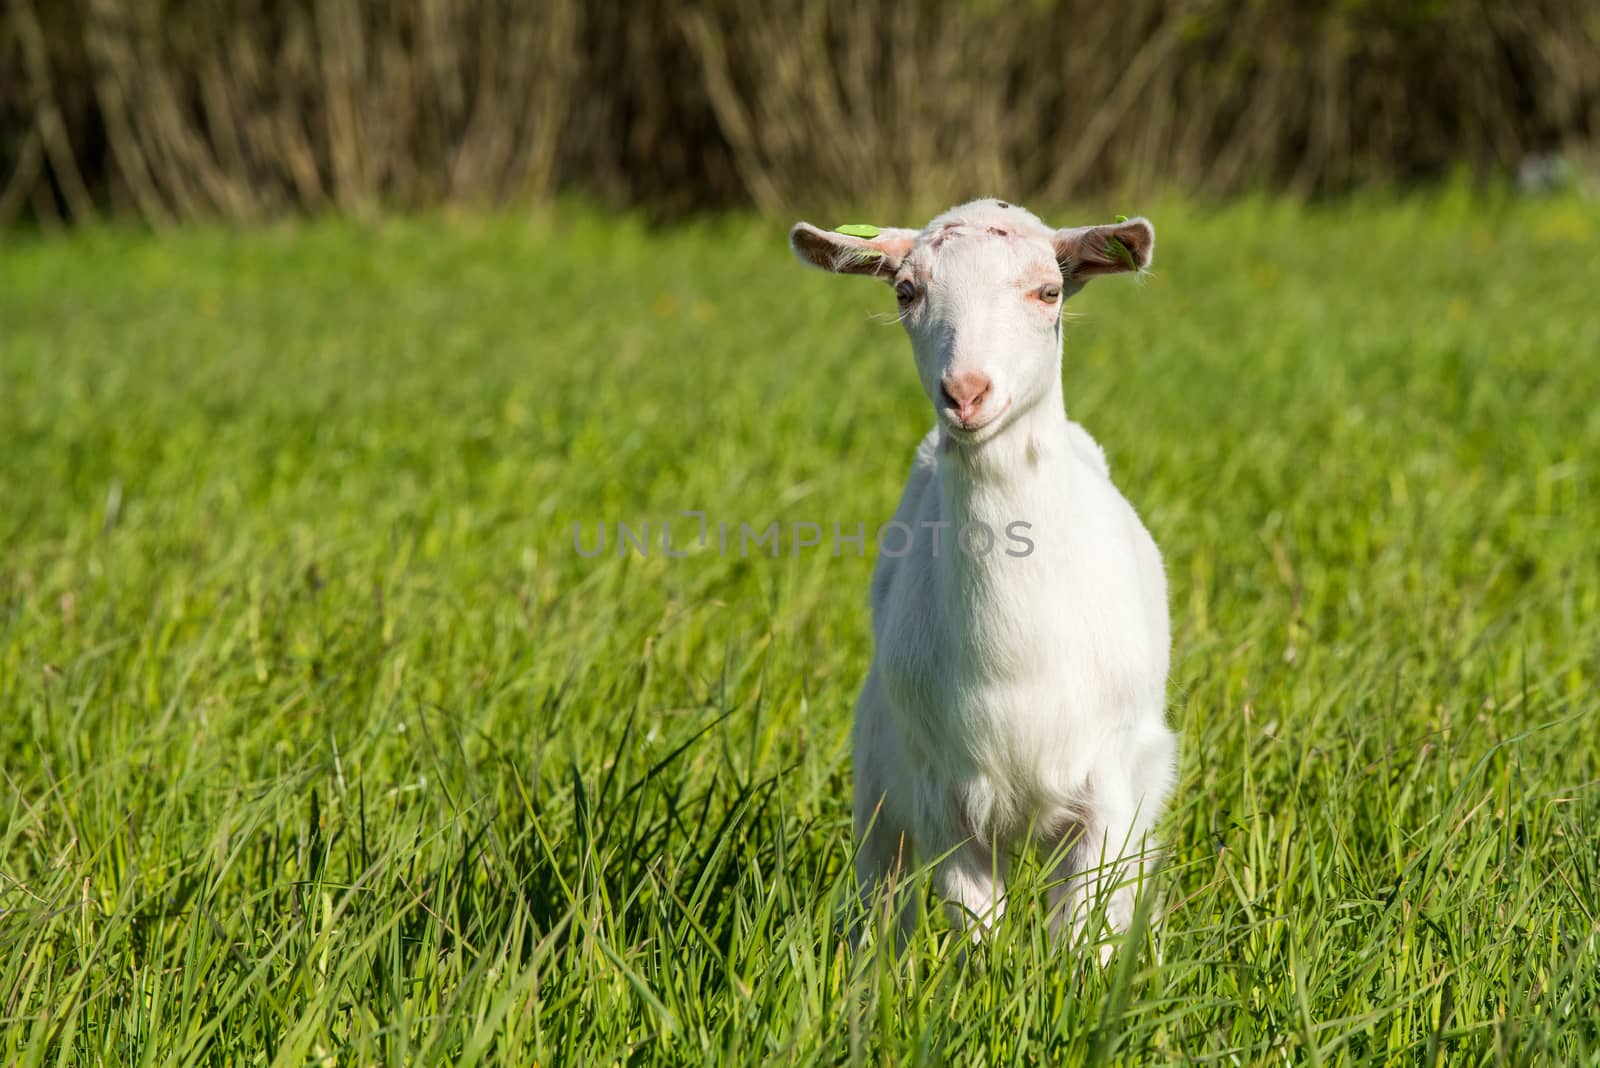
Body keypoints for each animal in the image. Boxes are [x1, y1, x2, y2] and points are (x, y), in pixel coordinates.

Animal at [790, 198, 1177, 952]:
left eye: (1049, 291)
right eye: (906, 291)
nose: (965, 393)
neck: (1017, 663)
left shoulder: (1109, 788)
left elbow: (1082, 931)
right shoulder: (941, 793)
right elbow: (977, 933)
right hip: (879, 769)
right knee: (881, 896)